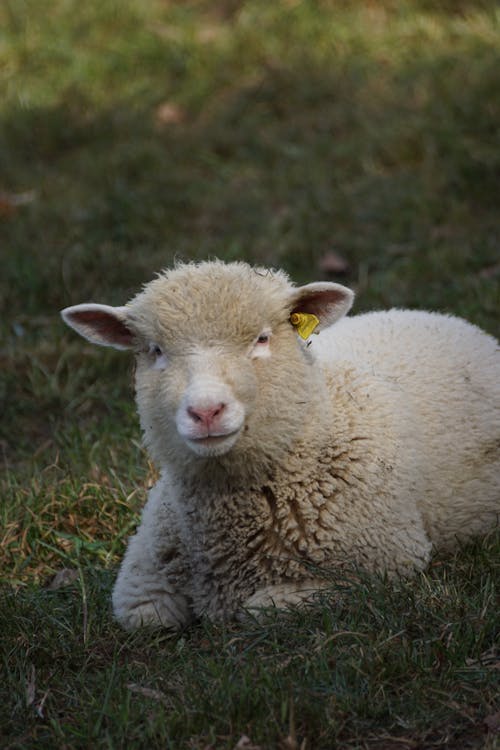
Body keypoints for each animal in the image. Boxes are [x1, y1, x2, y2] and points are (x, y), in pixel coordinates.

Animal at [61, 262, 500, 632]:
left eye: (262, 339)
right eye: (155, 351)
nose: (206, 411)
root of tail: (445, 318)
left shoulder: (382, 562)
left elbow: (260, 609)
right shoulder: (140, 580)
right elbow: (147, 618)